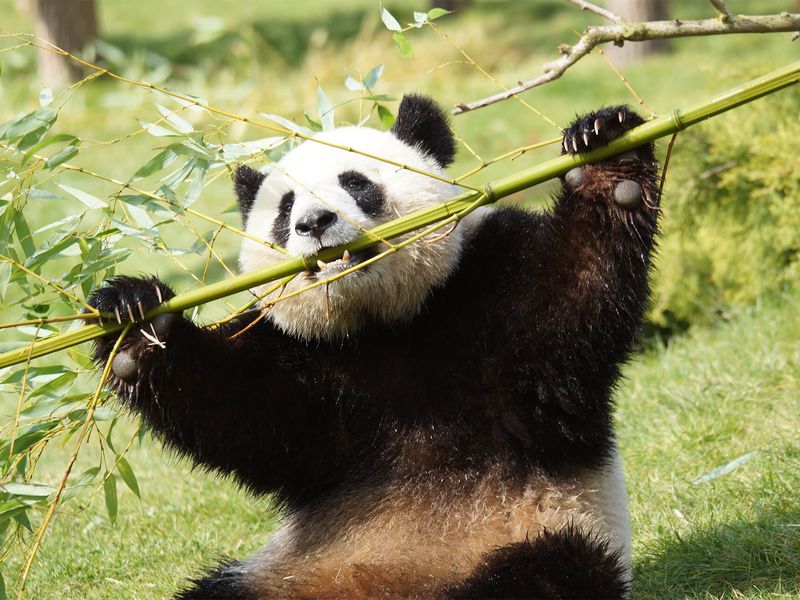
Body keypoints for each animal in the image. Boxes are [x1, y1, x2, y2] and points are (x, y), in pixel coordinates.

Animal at [88, 94, 660, 599]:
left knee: (546, 575)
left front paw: (608, 155)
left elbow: (568, 306)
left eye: (356, 182)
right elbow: (238, 406)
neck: (386, 323)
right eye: (285, 209)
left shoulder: (487, 286)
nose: (314, 223)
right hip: (282, 574)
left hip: (538, 534)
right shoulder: (310, 362)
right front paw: (133, 324)